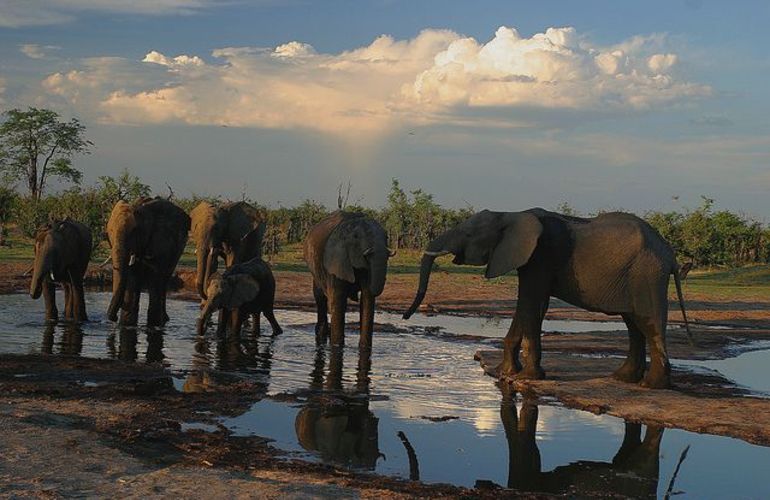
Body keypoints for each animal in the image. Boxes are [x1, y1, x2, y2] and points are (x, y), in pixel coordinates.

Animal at [106, 197, 190, 327]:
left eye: (134, 231)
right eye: (109, 232)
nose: (114, 318)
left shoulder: (161, 242)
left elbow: (154, 278)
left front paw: (154, 325)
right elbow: (132, 280)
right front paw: (127, 325)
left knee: (163, 281)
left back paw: (163, 320)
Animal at [304, 211, 391, 349]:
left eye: (386, 237)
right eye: (356, 237)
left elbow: (367, 300)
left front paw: (365, 348)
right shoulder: (337, 258)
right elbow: (338, 300)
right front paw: (337, 347)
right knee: (320, 297)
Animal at [404, 208, 692, 389]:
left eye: (467, 234)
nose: (406, 316)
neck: (510, 214)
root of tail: (669, 253)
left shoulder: (540, 256)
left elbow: (530, 304)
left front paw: (529, 377)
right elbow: (531, 306)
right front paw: (505, 372)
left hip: (647, 274)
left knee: (648, 323)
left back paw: (650, 385)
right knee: (633, 323)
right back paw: (622, 378)